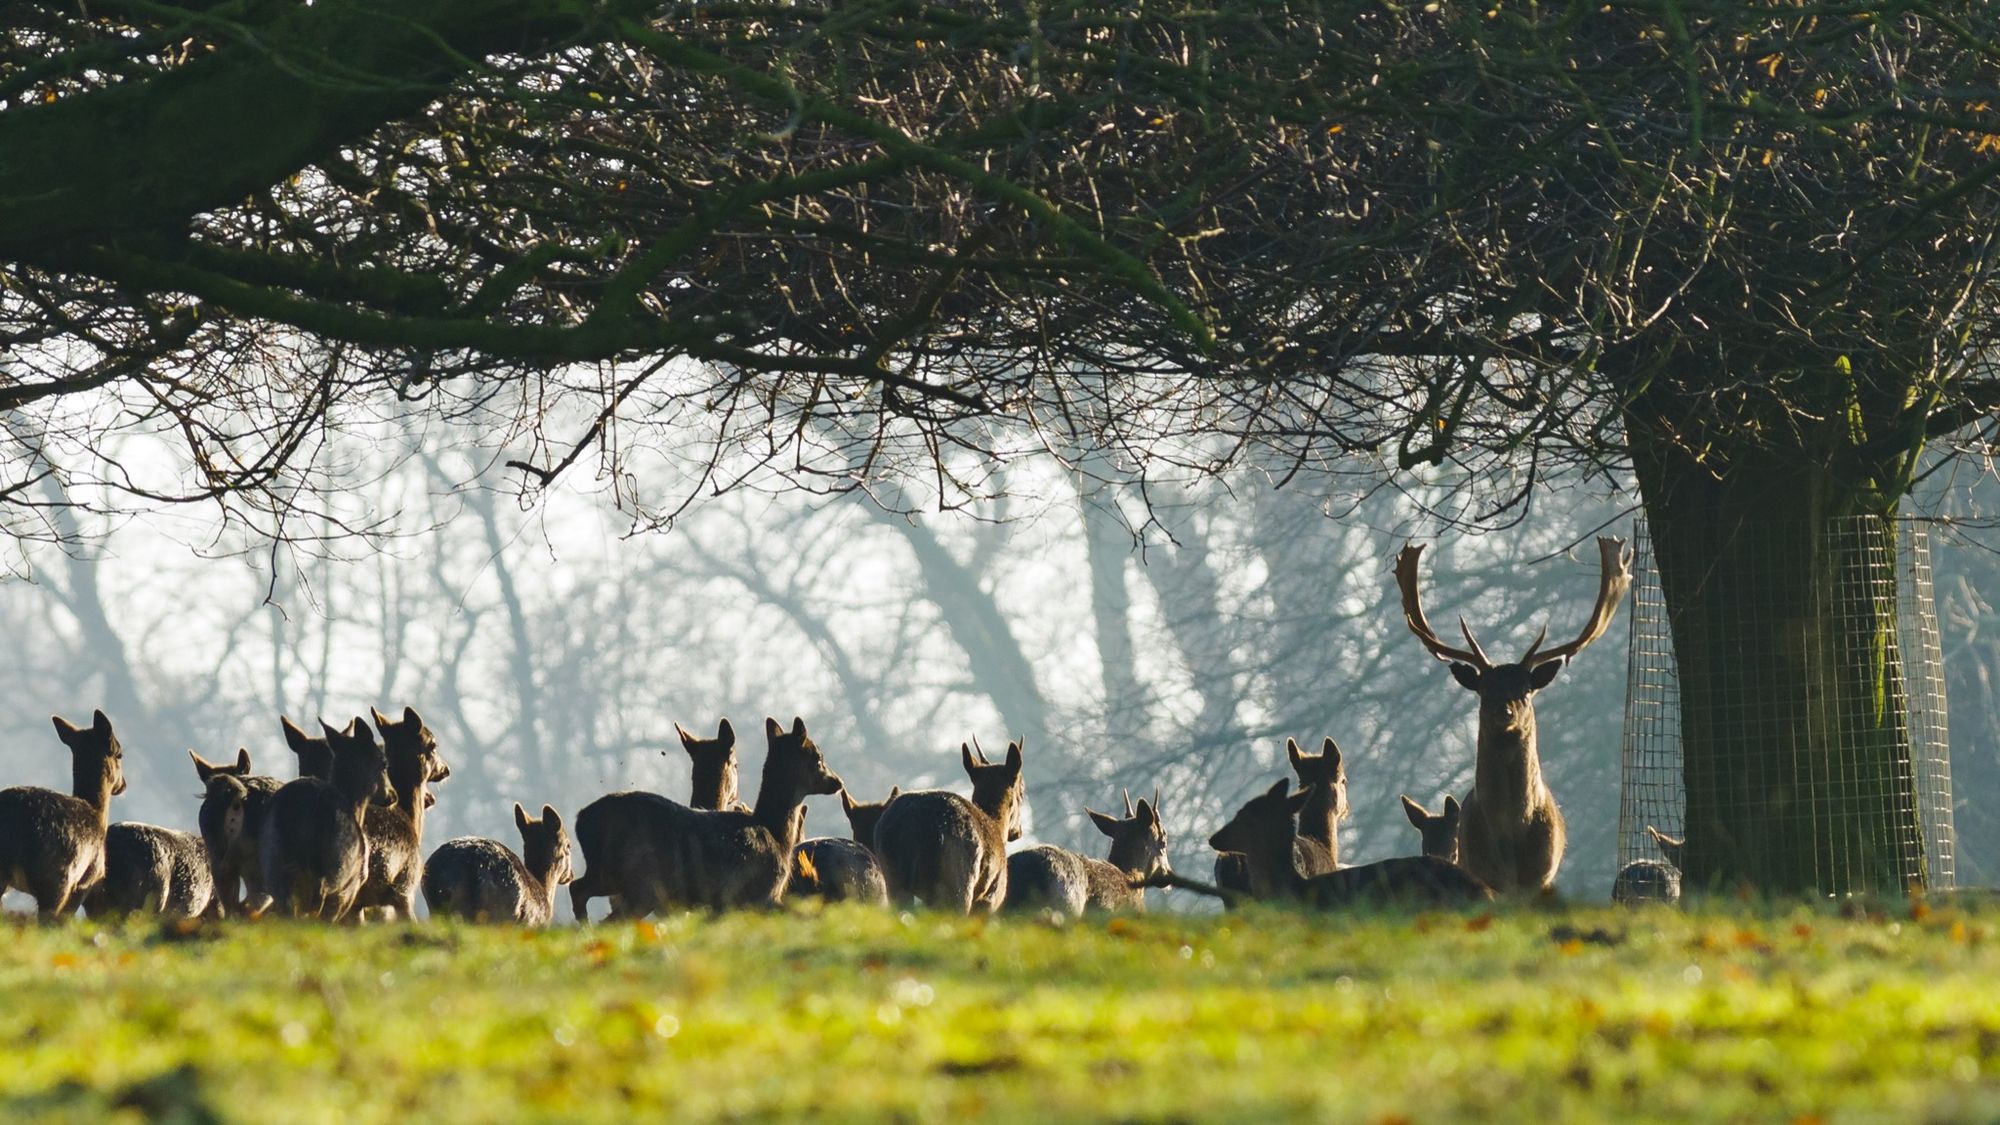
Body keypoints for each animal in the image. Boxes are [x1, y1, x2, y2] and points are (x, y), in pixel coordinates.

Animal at [569, 716, 843, 917]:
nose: (837, 781)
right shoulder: (761, 894)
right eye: (818, 757)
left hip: (608, 875)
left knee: (577, 888)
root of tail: (581, 822)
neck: (775, 834)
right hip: (641, 883)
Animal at [872, 740, 1024, 914]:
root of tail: (911, 825)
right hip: (957, 880)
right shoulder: (990, 897)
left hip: (893, 877)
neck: (998, 826)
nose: (1018, 831)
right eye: (1022, 789)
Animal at [1395, 536, 1631, 893]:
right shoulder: (1484, 876)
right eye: (1483, 689)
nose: (1503, 712)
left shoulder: (1542, 877)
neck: (1510, 833)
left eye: (1525, 689)